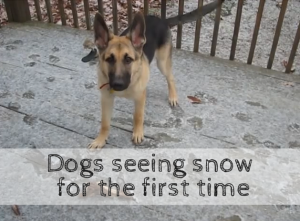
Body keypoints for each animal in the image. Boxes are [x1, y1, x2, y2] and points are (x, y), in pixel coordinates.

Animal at [88, 0, 224, 148]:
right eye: (109, 59)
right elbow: (105, 123)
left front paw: (137, 132)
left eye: (128, 59)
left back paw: (173, 96)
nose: (118, 84)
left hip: (162, 63)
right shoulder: (106, 99)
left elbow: (138, 116)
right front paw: (101, 139)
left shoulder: (139, 98)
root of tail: (161, 20)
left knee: (171, 78)